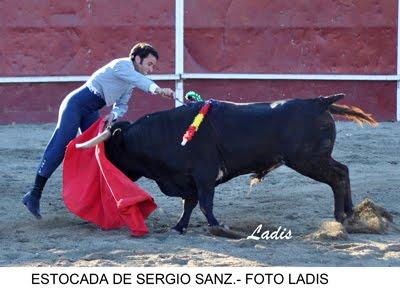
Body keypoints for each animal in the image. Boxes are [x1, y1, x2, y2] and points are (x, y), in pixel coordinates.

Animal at [101, 94, 376, 236]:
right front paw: (179, 227)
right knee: (343, 170)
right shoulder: (189, 180)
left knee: (337, 177)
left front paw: (220, 227)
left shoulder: (203, 175)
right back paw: (353, 214)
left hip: (307, 160)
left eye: (111, 150)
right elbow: (189, 204)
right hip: (315, 159)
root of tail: (318, 101)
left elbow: (204, 203)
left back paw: (340, 218)